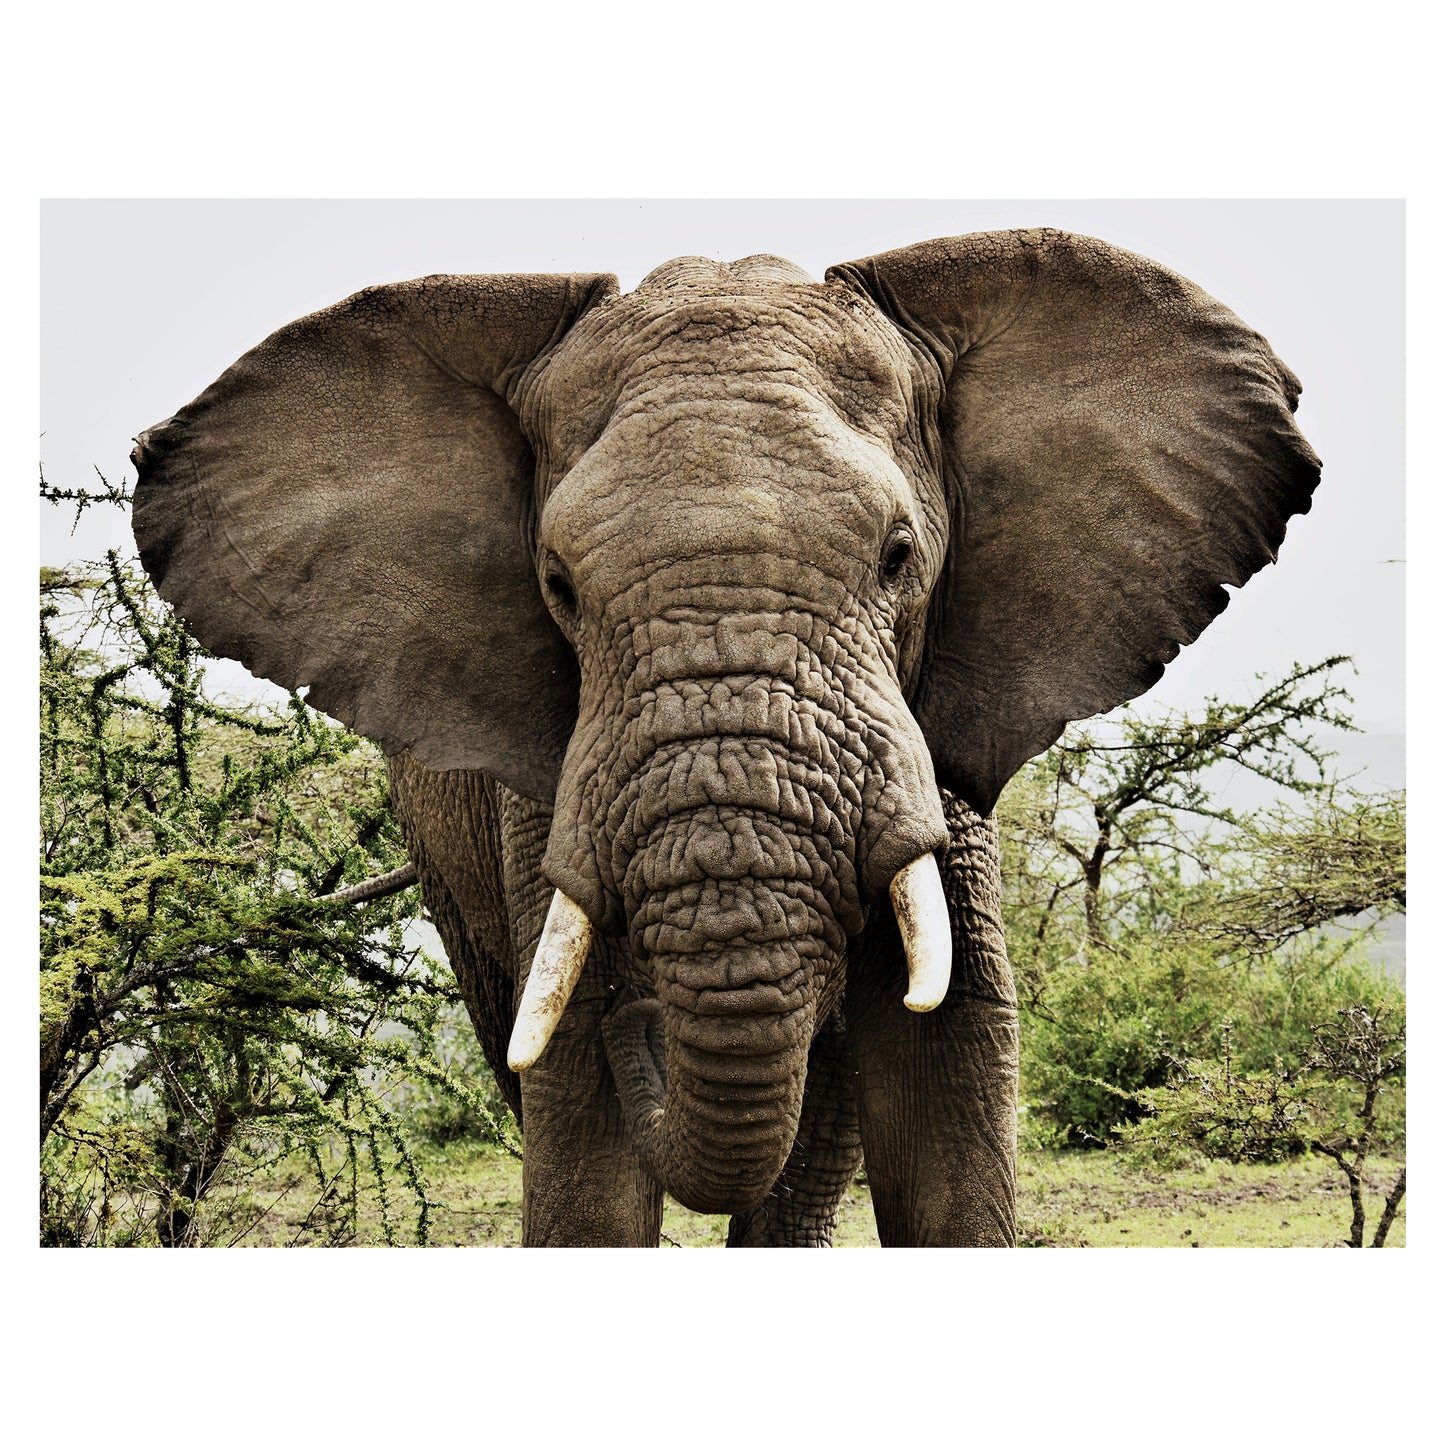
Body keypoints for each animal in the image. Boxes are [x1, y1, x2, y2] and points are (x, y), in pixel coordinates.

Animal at [129, 229, 1319, 1247]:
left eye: (897, 555)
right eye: (558, 586)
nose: (641, 1022)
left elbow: (948, 1084)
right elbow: (582, 1145)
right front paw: (604, 1050)